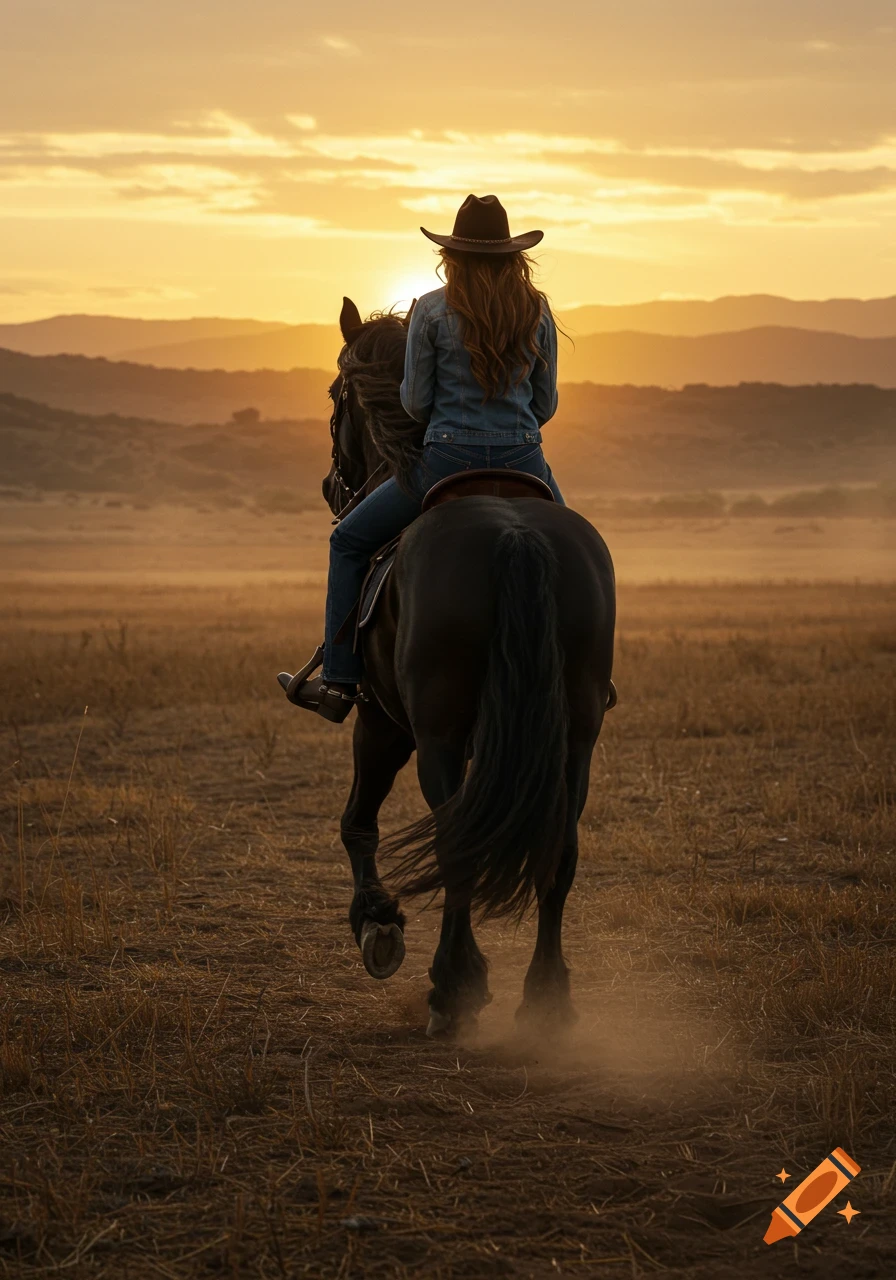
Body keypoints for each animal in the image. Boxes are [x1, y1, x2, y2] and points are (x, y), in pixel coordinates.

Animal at [320, 297, 616, 1038]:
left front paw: (378, 924)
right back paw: (547, 999)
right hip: (575, 736)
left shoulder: (381, 723)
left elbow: (356, 821)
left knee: (456, 845)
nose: (331, 485)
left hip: (438, 736)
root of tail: (514, 535)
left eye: (335, 394)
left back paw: (452, 990)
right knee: (559, 851)